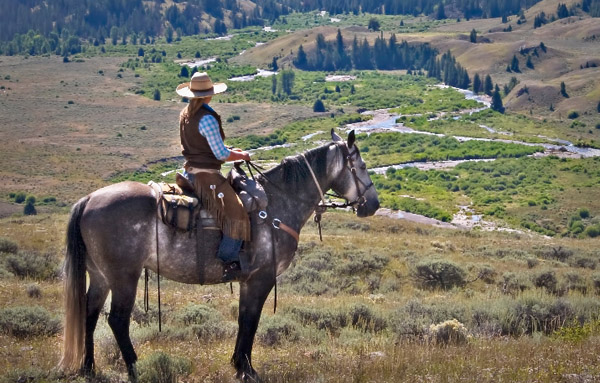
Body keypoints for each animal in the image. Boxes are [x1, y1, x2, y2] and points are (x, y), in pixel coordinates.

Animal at [61, 130, 380, 382]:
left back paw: (88, 368)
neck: (278, 204)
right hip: (124, 276)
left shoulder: (248, 281)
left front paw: (238, 365)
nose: (373, 205)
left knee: (89, 314)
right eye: (362, 165)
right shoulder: (261, 279)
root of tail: (89, 199)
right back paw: (135, 368)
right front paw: (247, 370)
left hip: (100, 275)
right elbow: (251, 321)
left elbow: (243, 320)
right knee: (117, 320)